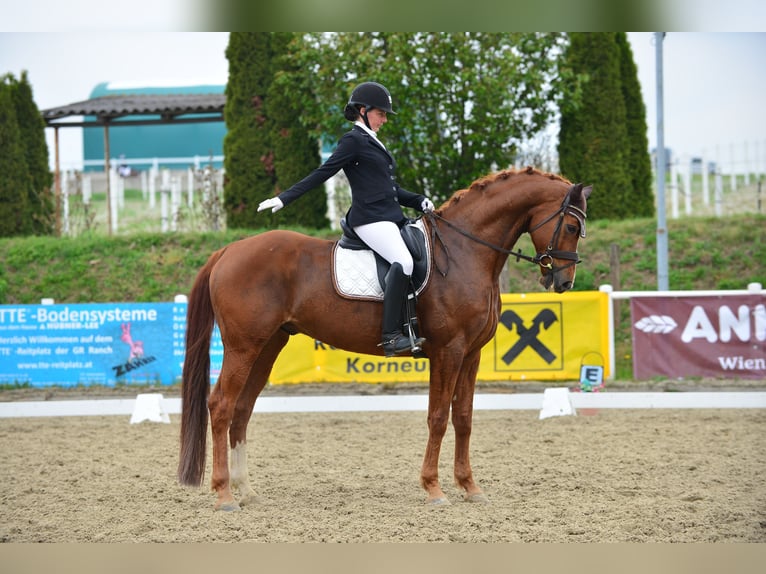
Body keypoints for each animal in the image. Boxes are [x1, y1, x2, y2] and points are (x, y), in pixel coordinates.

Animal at [180, 168, 592, 512]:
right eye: (572, 226)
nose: (563, 281)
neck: (465, 253)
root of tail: (229, 250)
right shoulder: (449, 351)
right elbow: (438, 417)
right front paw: (433, 488)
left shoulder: (471, 354)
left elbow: (464, 418)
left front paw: (470, 487)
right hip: (242, 347)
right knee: (221, 406)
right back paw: (224, 494)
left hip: (266, 347)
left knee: (241, 410)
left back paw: (246, 491)